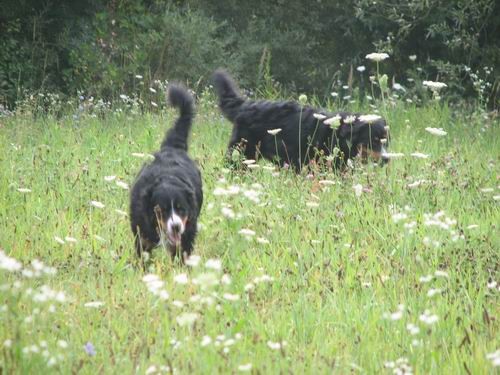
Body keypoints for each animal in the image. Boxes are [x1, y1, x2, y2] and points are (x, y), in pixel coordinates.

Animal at [131, 85, 205, 262]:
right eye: (160, 210)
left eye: (181, 209)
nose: (176, 226)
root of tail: (172, 147)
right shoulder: (142, 235)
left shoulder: (187, 235)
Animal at [213, 69, 388, 170]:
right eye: (373, 140)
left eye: (385, 142)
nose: (387, 159)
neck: (337, 134)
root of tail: (245, 105)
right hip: (241, 152)